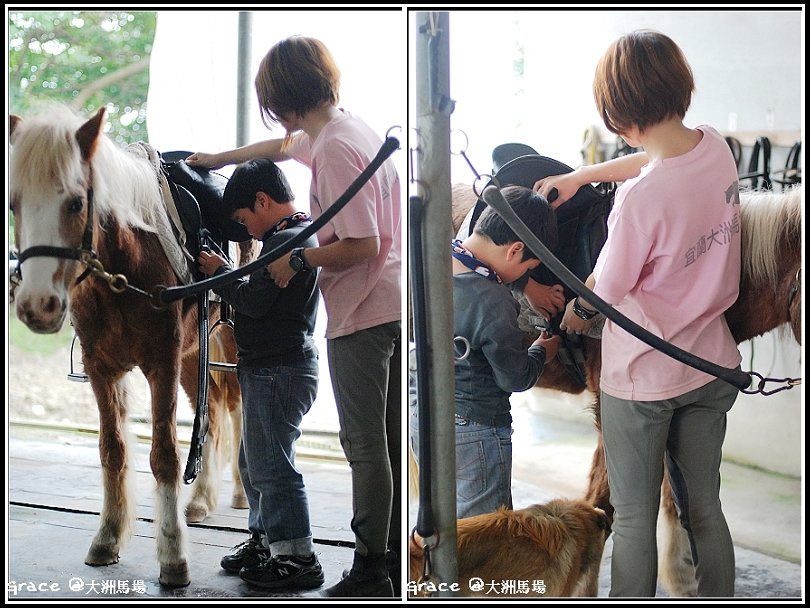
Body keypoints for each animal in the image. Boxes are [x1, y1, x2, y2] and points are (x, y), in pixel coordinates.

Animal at [8, 107, 246, 588]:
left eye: (76, 203)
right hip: (194, 357)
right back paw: (201, 500)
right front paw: (107, 538)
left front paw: (172, 557)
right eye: (14, 204)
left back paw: (242, 494)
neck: (125, 271)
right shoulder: (103, 369)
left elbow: (165, 455)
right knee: (212, 414)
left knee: (240, 407)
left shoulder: (162, 364)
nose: (37, 305)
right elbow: (112, 451)